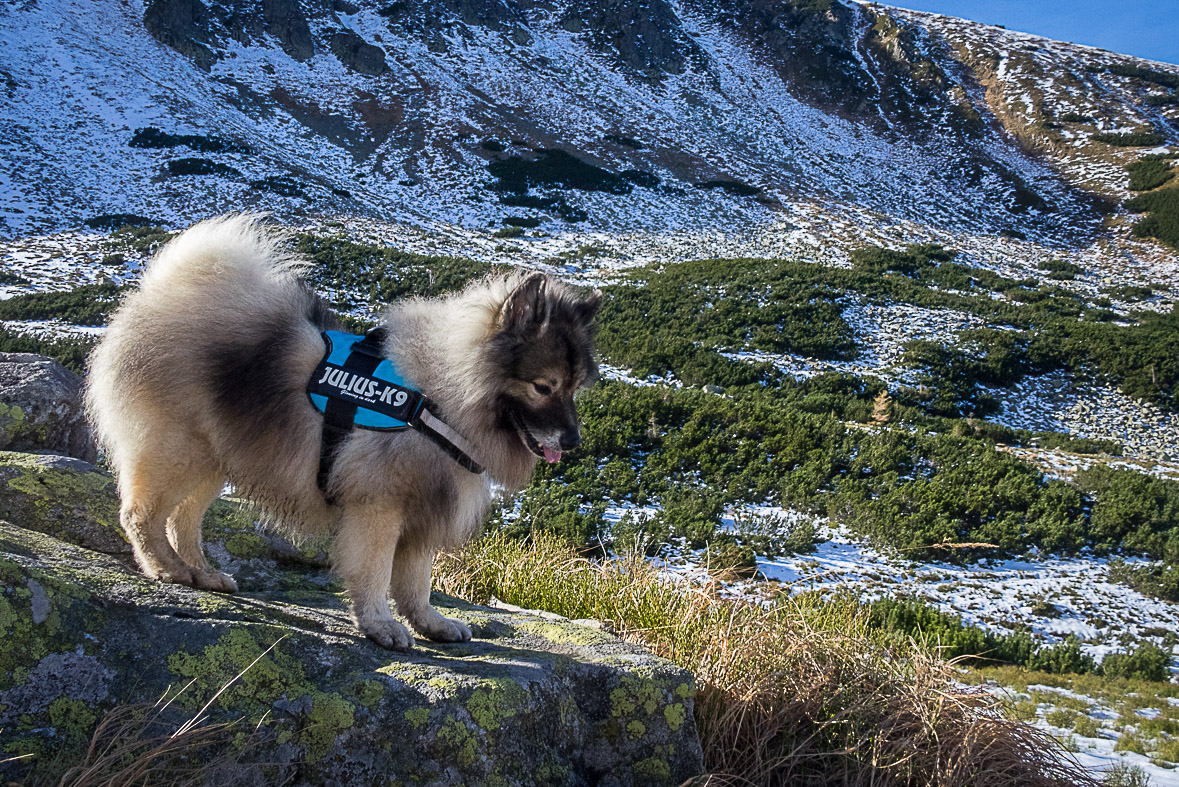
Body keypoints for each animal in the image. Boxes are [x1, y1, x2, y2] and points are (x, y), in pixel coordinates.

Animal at [85, 216, 598, 650]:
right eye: (544, 386)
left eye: (575, 388)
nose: (572, 442)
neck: (438, 397)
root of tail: (160, 297)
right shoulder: (379, 507)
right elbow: (375, 574)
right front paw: (380, 626)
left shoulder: (422, 514)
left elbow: (416, 582)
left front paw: (430, 623)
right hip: (178, 450)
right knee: (142, 515)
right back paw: (166, 569)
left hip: (216, 458)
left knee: (182, 520)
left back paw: (202, 573)